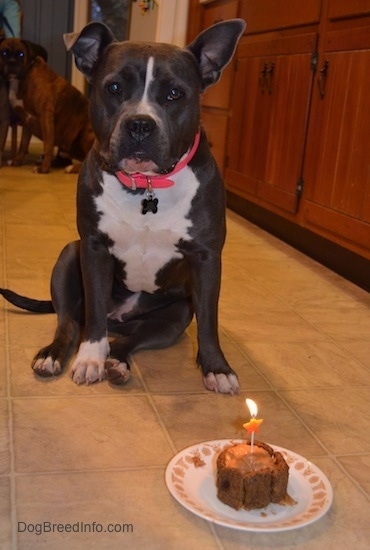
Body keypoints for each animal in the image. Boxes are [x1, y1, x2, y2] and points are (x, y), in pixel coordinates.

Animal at [0, 38, 94, 172]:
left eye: (21, 54)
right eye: (3, 53)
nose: (12, 62)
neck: (24, 77)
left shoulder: (46, 116)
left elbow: (47, 145)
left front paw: (44, 169)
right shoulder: (26, 121)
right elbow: (23, 144)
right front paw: (17, 161)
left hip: (85, 136)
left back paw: (72, 168)